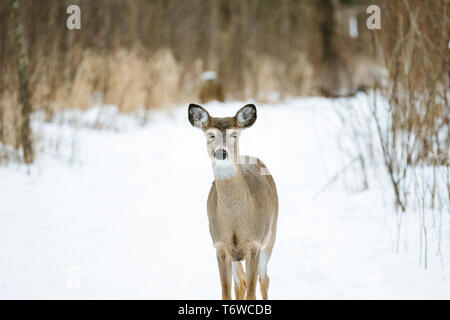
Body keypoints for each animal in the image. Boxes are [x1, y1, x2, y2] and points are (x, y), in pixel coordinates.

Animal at [186, 103, 278, 300]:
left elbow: (252, 293)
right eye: (210, 135)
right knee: (240, 283)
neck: (235, 221)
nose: (221, 152)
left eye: (234, 134)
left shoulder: (254, 245)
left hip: (271, 234)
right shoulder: (220, 247)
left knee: (264, 279)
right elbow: (227, 293)